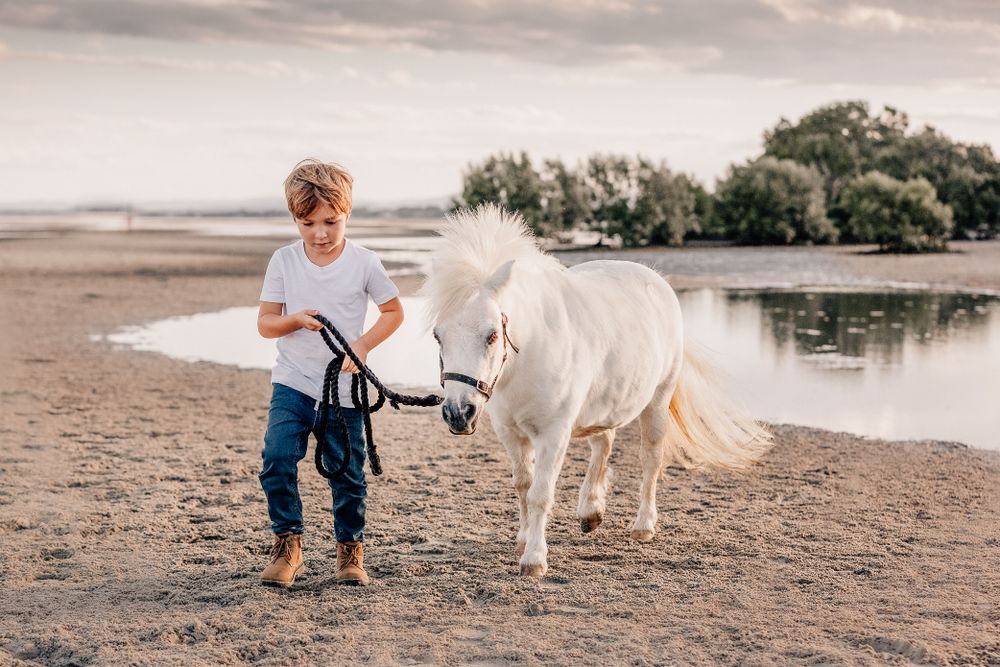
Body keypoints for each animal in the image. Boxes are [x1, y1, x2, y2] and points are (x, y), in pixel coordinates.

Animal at [420, 204, 772, 577]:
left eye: (491, 335)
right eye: (438, 335)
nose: (458, 413)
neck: (528, 354)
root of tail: (657, 282)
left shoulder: (554, 433)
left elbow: (541, 493)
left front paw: (534, 559)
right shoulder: (510, 433)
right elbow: (523, 485)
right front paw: (522, 540)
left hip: (657, 404)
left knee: (651, 460)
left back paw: (643, 526)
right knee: (604, 443)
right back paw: (591, 511)